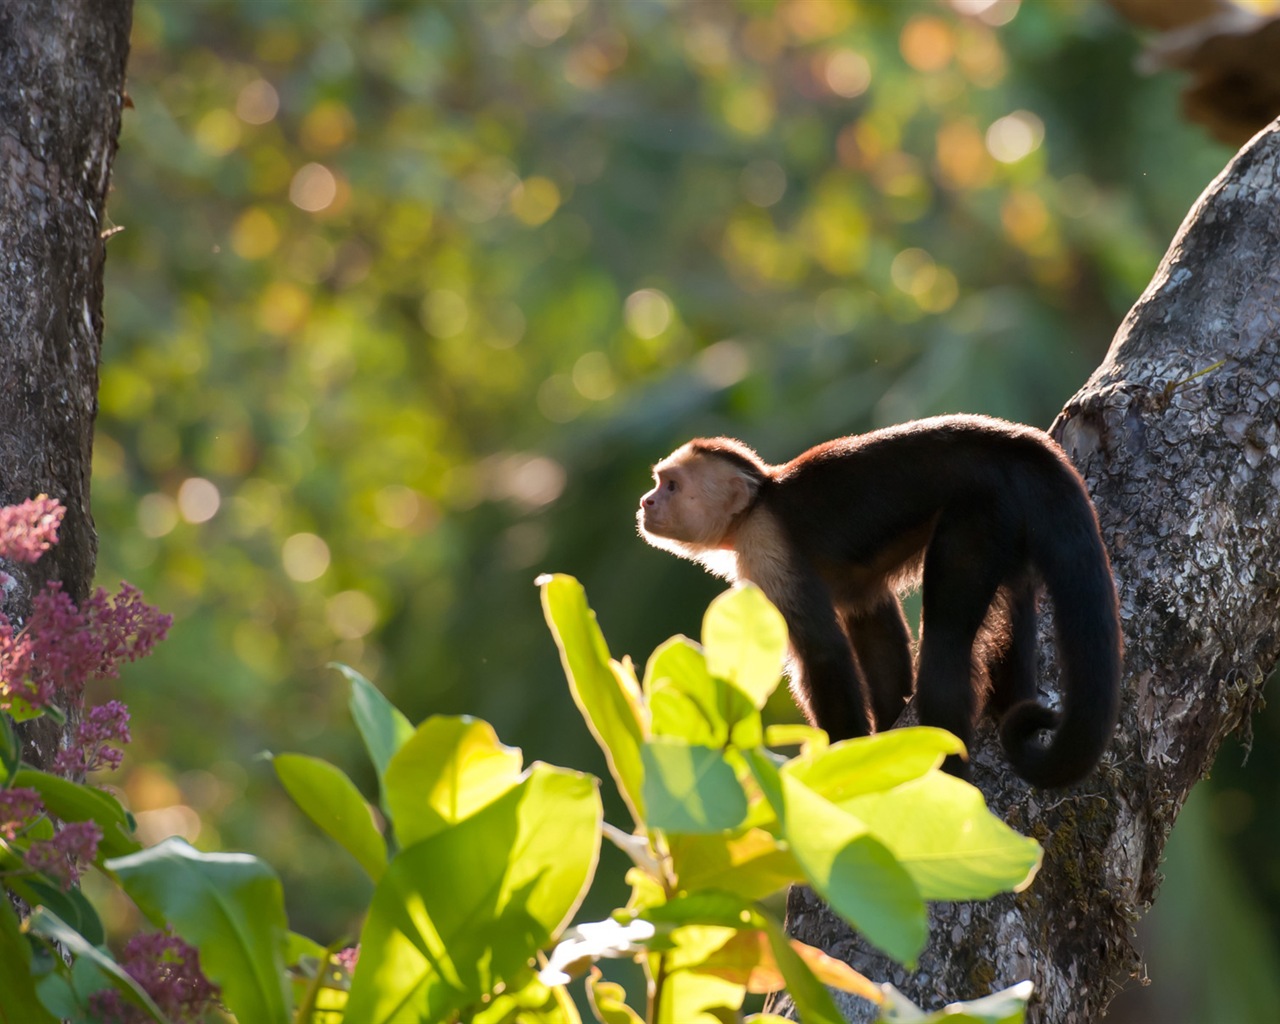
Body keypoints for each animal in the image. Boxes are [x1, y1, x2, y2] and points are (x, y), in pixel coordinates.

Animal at [637, 412, 1121, 788]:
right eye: (659, 483)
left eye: (672, 486)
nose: (646, 501)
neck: (757, 503)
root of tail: (1007, 440)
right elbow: (871, 620)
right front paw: (886, 733)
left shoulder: (765, 545)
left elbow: (824, 655)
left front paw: (839, 763)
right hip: (1010, 522)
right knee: (1014, 605)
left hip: (981, 513)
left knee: (945, 643)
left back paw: (950, 775)